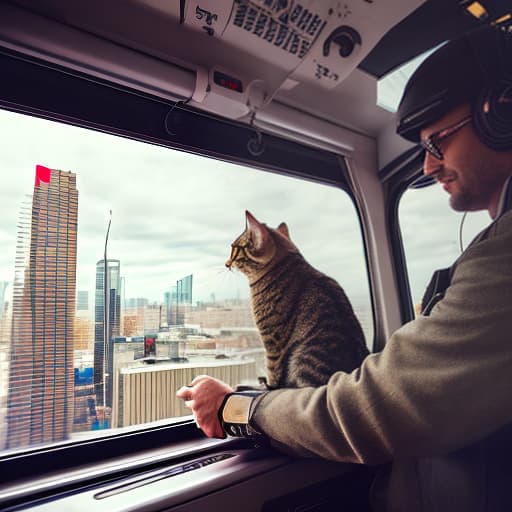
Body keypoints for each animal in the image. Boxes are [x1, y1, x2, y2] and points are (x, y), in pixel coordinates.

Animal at [227, 209, 368, 388]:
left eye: (234, 250)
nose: (226, 263)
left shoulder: (273, 341)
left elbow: (272, 370)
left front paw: (268, 385)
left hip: (300, 359)